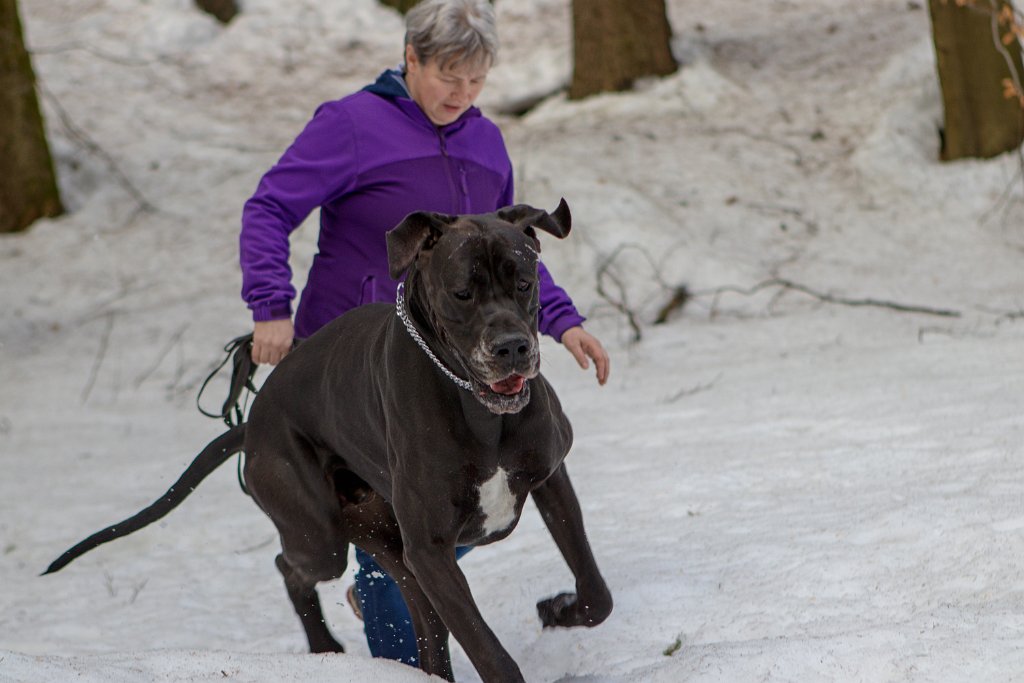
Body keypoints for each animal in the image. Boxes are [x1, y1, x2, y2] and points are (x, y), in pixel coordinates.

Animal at [46, 200, 606, 679]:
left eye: (525, 282)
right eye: (462, 293)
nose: (511, 347)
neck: (479, 409)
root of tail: (254, 424)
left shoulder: (549, 478)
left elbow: (597, 594)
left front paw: (560, 609)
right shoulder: (431, 547)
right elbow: (488, 650)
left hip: (383, 539)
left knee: (422, 623)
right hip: (322, 533)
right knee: (290, 565)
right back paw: (323, 645)